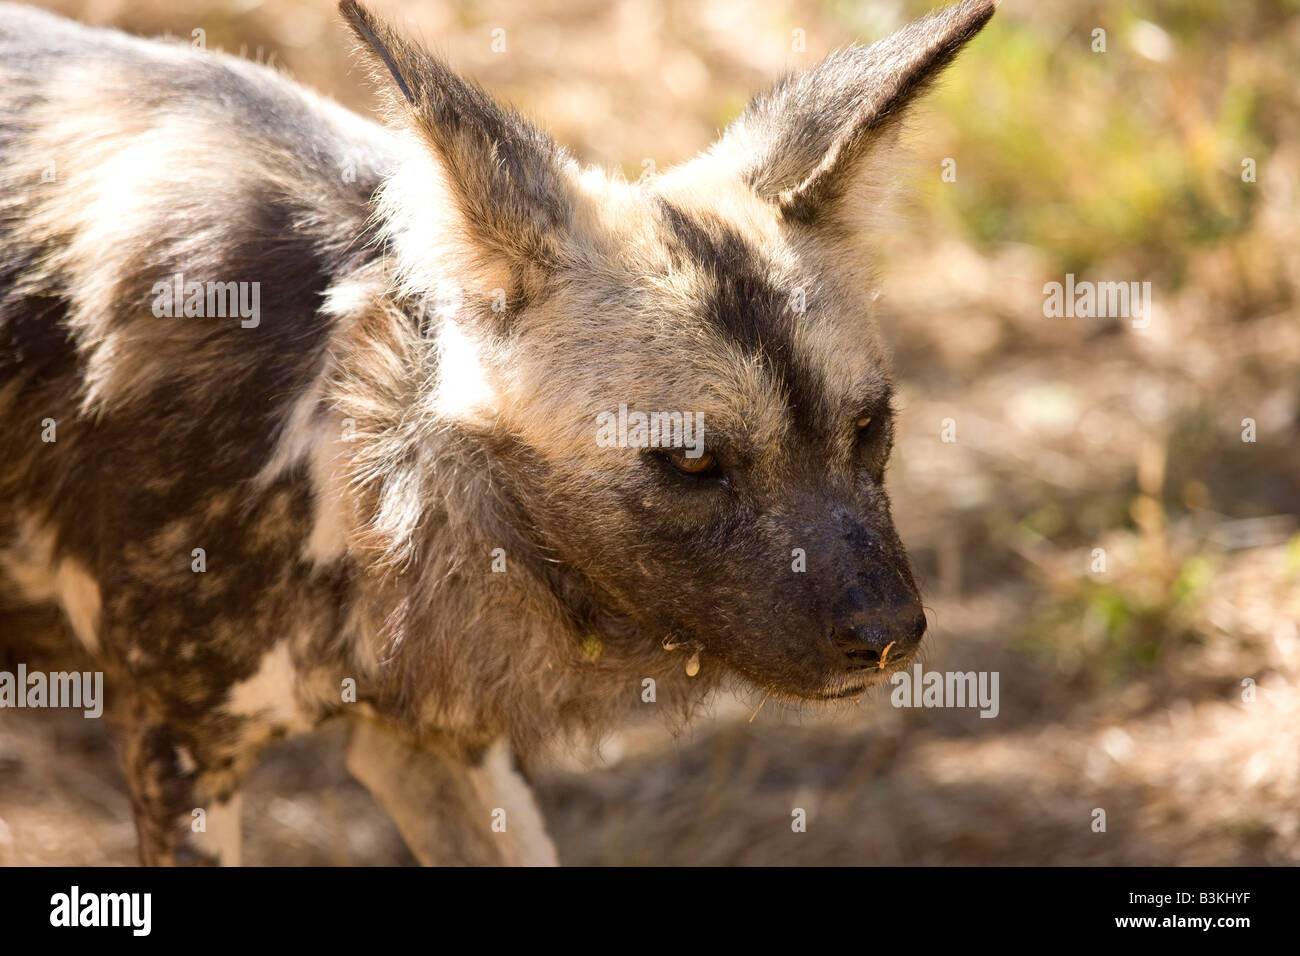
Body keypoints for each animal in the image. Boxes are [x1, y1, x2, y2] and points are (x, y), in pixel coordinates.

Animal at [0, 1, 993, 868]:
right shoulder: (180, 749)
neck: (353, 439)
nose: (890, 634)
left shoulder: (433, 742)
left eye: (868, 427)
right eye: (692, 460)